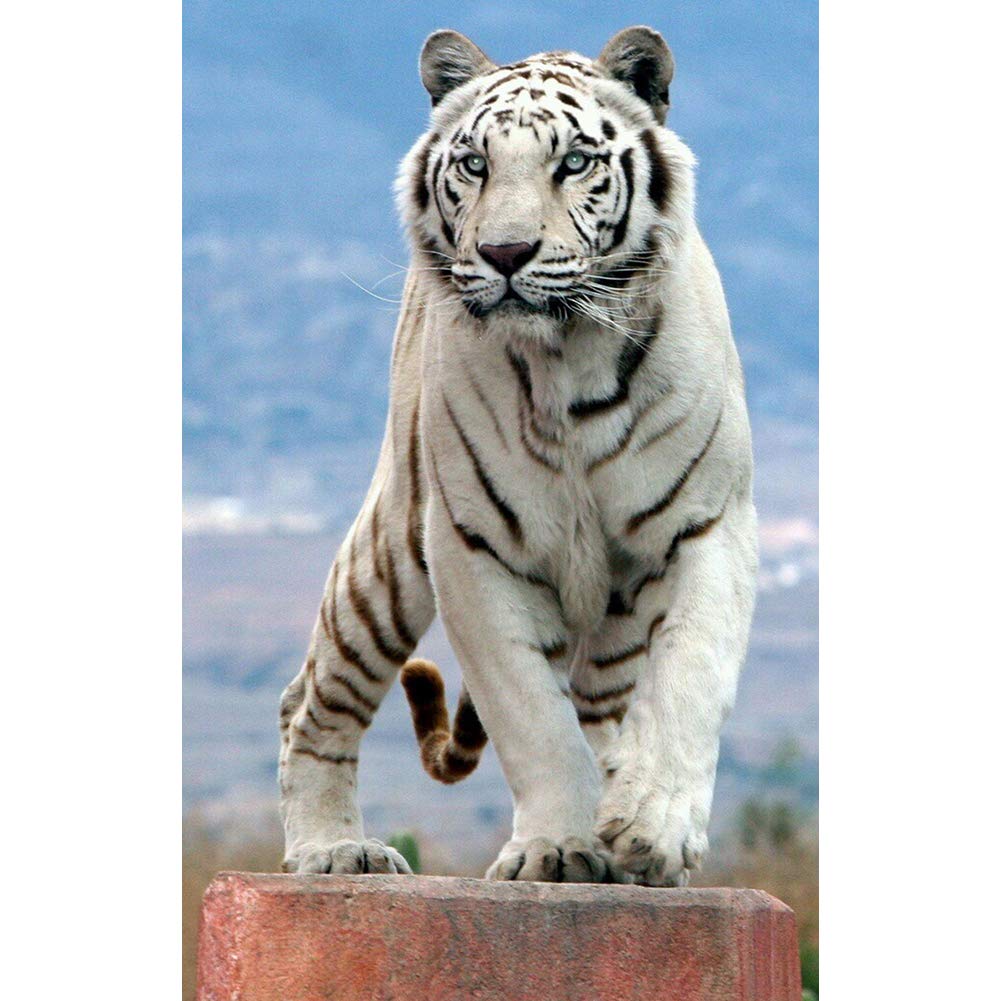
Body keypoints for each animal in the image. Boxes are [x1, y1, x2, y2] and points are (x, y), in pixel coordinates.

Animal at [278, 25, 758, 886]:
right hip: (390, 550)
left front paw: (652, 828)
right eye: (475, 163)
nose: (505, 252)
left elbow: (687, 678)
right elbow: (531, 715)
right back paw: (333, 848)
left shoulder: (708, 526)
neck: (568, 360)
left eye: (574, 161)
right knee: (310, 696)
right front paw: (558, 846)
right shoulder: (470, 545)